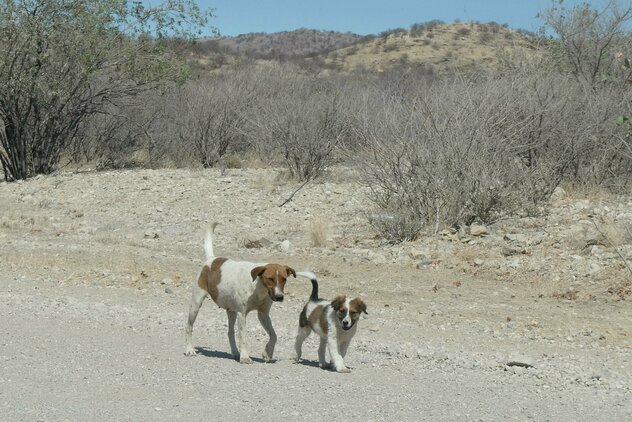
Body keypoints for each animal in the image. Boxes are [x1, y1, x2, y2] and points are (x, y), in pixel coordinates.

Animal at [183, 224, 296, 362]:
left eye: (284, 279)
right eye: (270, 279)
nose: (280, 297)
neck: (259, 289)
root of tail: (211, 260)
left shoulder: (263, 314)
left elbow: (274, 335)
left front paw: (267, 352)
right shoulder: (242, 315)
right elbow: (243, 337)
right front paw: (245, 357)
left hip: (231, 311)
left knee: (230, 332)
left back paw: (235, 352)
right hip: (196, 304)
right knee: (189, 327)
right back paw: (189, 349)